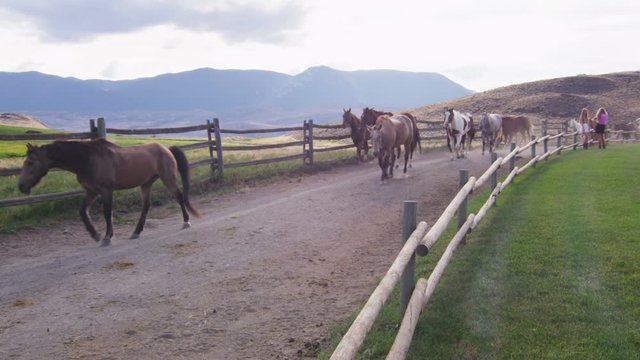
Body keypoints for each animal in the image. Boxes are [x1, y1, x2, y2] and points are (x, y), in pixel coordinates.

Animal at [17, 139, 200, 246]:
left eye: (30, 162)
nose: (21, 186)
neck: (88, 159)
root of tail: (166, 149)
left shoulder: (106, 191)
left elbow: (107, 213)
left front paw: (106, 237)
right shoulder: (92, 191)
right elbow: (83, 212)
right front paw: (95, 234)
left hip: (167, 178)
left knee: (179, 197)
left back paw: (186, 222)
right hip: (146, 184)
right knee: (146, 206)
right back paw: (136, 232)